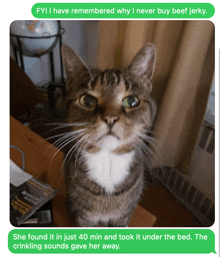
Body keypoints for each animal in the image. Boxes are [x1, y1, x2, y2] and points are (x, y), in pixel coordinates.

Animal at [59, 44, 156, 226]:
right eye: (87, 100)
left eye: (131, 101)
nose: (110, 118)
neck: (108, 161)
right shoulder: (84, 217)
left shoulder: (123, 216)